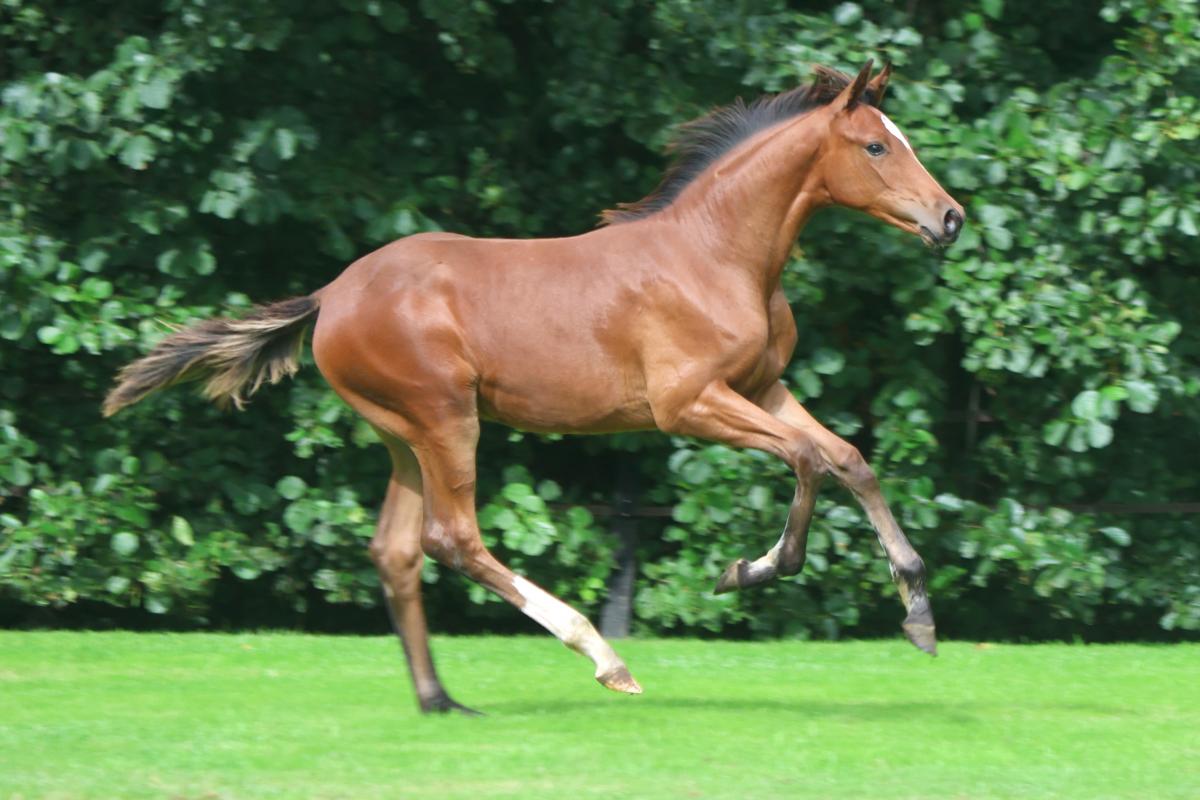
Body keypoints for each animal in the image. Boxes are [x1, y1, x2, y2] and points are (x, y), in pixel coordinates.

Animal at [104, 61, 964, 715]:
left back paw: (439, 700)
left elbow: (849, 460)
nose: (950, 217)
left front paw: (920, 617)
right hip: (445, 418)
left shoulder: (764, 387)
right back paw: (604, 658)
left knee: (395, 551)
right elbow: (807, 463)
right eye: (876, 146)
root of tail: (331, 297)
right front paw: (746, 572)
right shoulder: (688, 405)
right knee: (453, 539)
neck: (716, 255)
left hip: (401, 435)